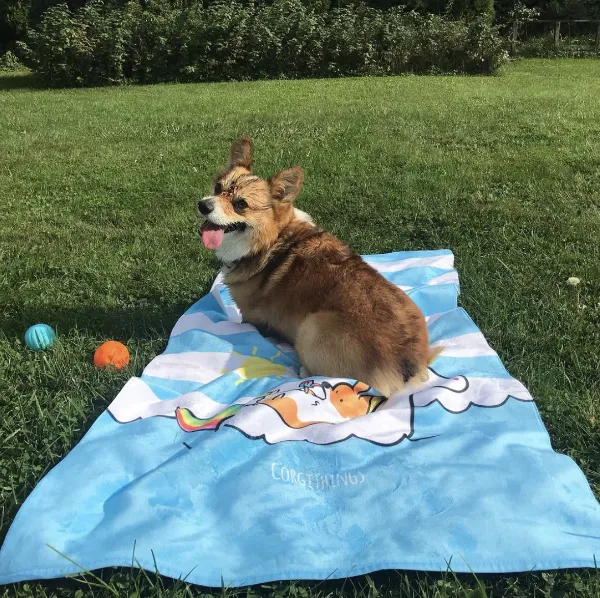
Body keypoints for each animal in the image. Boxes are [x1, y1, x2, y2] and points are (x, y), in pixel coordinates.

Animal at [199, 138, 438, 396]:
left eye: (240, 204)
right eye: (217, 187)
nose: (202, 205)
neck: (272, 239)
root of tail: (408, 369)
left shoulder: (249, 317)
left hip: (310, 327)